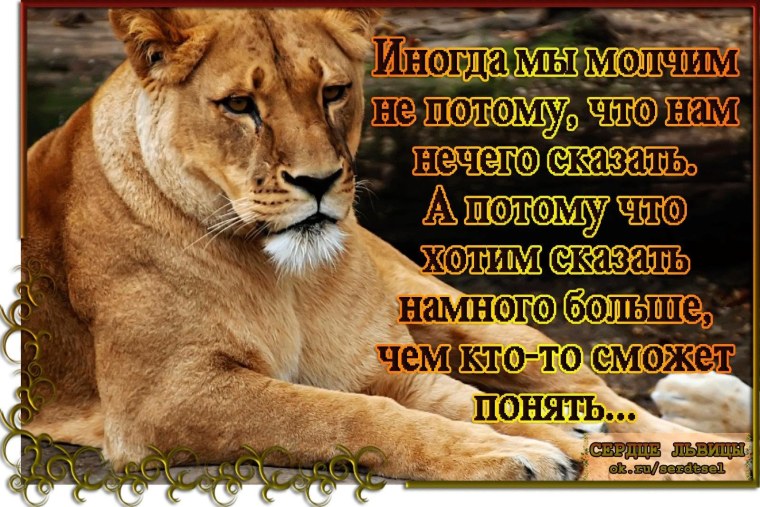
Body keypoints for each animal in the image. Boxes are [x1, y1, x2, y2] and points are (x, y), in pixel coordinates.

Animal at [22, 8, 750, 481]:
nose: (318, 181)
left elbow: (397, 404)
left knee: (611, 400)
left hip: (461, 314)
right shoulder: (163, 397)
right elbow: (350, 416)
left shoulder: (370, 362)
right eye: (238, 106)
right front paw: (511, 450)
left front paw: (536, 443)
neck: (282, 276)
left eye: (333, 92)